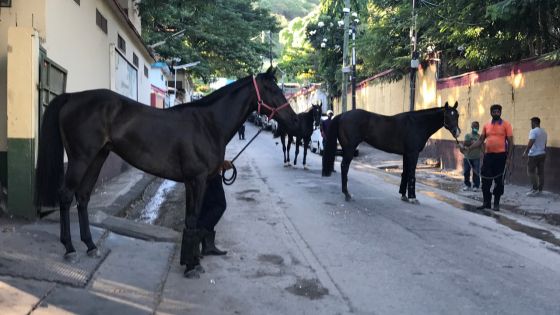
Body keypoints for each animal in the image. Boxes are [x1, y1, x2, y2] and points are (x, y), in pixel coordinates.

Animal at [35, 67, 300, 278]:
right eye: (273, 89)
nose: (294, 121)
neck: (208, 124)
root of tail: (72, 97)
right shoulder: (197, 180)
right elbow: (193, 220)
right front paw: (191, 266)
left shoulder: (194, 182)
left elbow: (193, 220)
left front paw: (192, 260)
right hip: (80, 159)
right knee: (66, 195)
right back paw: (69, 248)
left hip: (98, 158)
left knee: (83, 197)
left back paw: (90, 245)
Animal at [322, 102, 462, 204]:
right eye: (447, 116)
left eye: (457, 115)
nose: (457, 132)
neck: (417, 123)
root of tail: (342, 115)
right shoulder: (413, 153)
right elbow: (411, 174)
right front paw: (412, 197)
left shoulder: (406, 154)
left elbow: (405, 172)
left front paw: (404, 195)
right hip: (350, 149)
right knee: (344, 167)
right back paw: (347, 194)